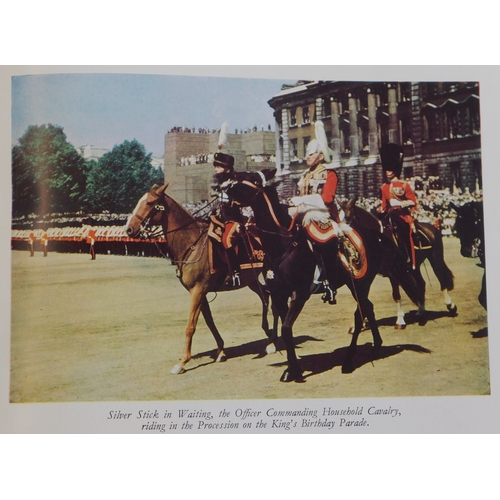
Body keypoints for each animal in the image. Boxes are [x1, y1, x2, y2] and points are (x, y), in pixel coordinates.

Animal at [124, 182, 278, 374]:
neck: (191, 244)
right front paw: (221, 351)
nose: (129, 229)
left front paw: (182, 362)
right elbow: (209, 321)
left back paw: (273, 342)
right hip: (252, 281)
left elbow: (190, 326)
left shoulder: (197, 291)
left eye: (150, 203)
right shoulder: (200, 292)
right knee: (266, 297)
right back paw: (269, 337)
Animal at [230, 170, 422, 380]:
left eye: (252, 180)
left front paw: (294, 370)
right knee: (368, 308)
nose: (227, 190)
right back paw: (376, 347)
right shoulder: (280, 294)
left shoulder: (299, 294)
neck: (283, 244)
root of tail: (376, 234)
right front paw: (291, 368)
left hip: (360, 284)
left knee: (360, 313)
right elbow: (285, 329)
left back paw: (348, 361)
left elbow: (286, 329)